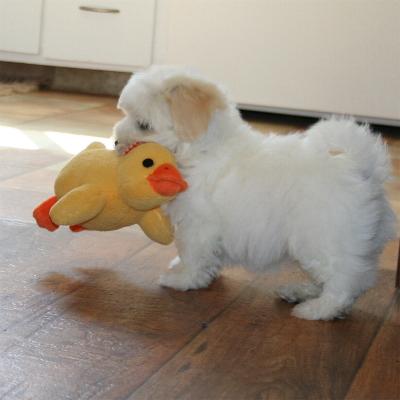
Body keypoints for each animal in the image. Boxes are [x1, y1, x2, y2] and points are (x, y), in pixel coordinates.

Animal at [113, 66, 397, 320]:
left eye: (144, 125)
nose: (115, 141)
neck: (199, 149)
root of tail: (362, 167)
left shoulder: (197, 224)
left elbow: (192, 253)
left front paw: (181, 278)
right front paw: (197, 271)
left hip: (321, 238)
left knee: (343, 281)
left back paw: (317, 310)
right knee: (355, 277)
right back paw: (301, 291)